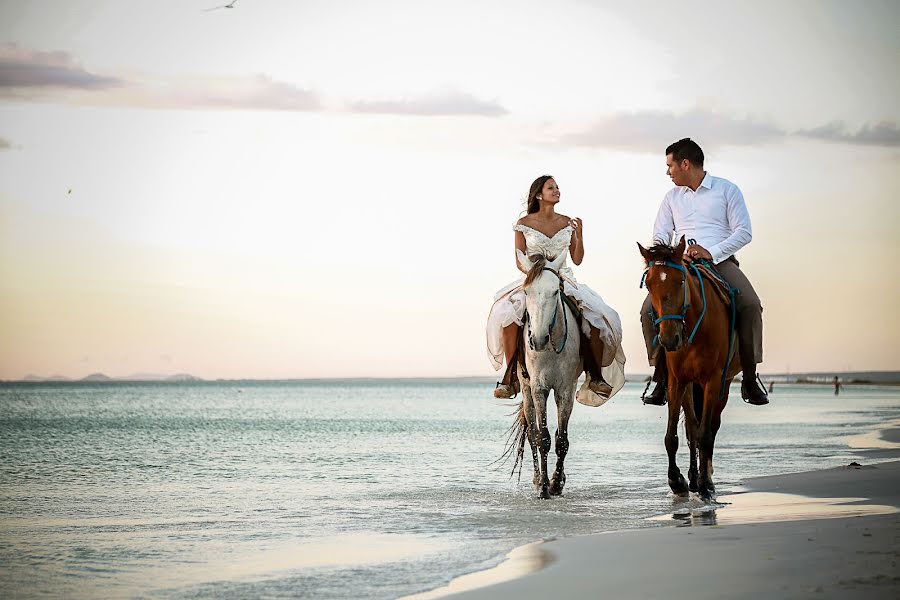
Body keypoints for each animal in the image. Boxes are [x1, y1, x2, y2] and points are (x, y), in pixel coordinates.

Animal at [510, 247, 580, 496]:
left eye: (555, 291)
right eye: (526, 291)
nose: (538, 339)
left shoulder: (565, 390)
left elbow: (561, 440)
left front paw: (556, 483)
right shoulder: (539, 388)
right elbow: (542, 438)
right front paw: (543, 487)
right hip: (526, 389)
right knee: (531, 433)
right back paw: (536, 478)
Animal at [632, 237, 740, 500]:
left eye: (681, 281)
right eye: (648, 284)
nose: (669, 338)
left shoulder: (713, 381)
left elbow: (705, 434)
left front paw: (705, 485)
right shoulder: (677, 380)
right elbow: (673, 436)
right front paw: (677, 481)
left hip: (723, 385)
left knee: (710, 427)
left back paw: (705, 478)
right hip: (691, 386)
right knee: (692, 426)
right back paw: (692, 477)